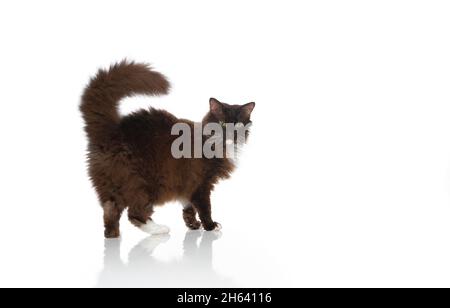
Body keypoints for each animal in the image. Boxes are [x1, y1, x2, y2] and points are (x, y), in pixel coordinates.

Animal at [79, 60, 255, 238]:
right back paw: (158, 229)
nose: (231, 134)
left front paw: (192, 225)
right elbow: (205, 207)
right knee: (135, 213)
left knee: (110, 210)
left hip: (114, 184)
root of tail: (111, 130)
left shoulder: (186, 183)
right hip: (144, 184)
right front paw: (210, 226)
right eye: (222, 124)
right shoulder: (201, 183)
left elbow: (188, 206)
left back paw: (113, 235)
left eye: (238, 125)